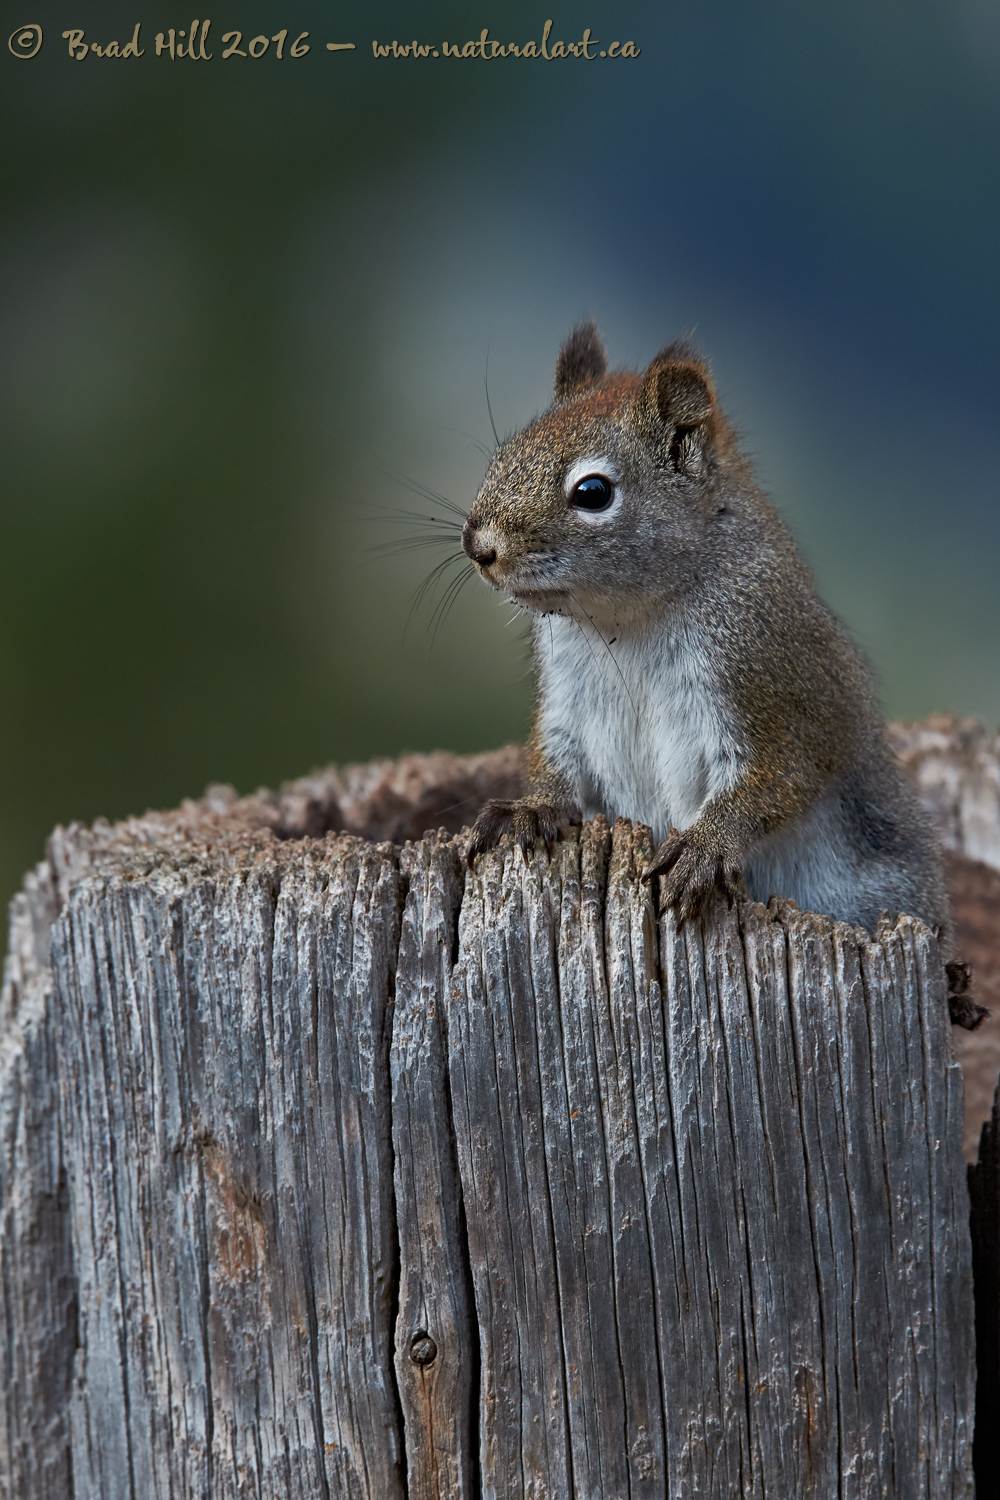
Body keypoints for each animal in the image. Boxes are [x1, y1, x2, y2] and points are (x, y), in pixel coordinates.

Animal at [464, 322, 965, 966]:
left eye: (593, 491)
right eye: (504, 454)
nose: (479, 546)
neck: (628, 620)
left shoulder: (773, 685)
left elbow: (777, 779)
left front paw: (705, 846)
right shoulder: (567, 701)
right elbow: (559, 764)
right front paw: (530, 809)